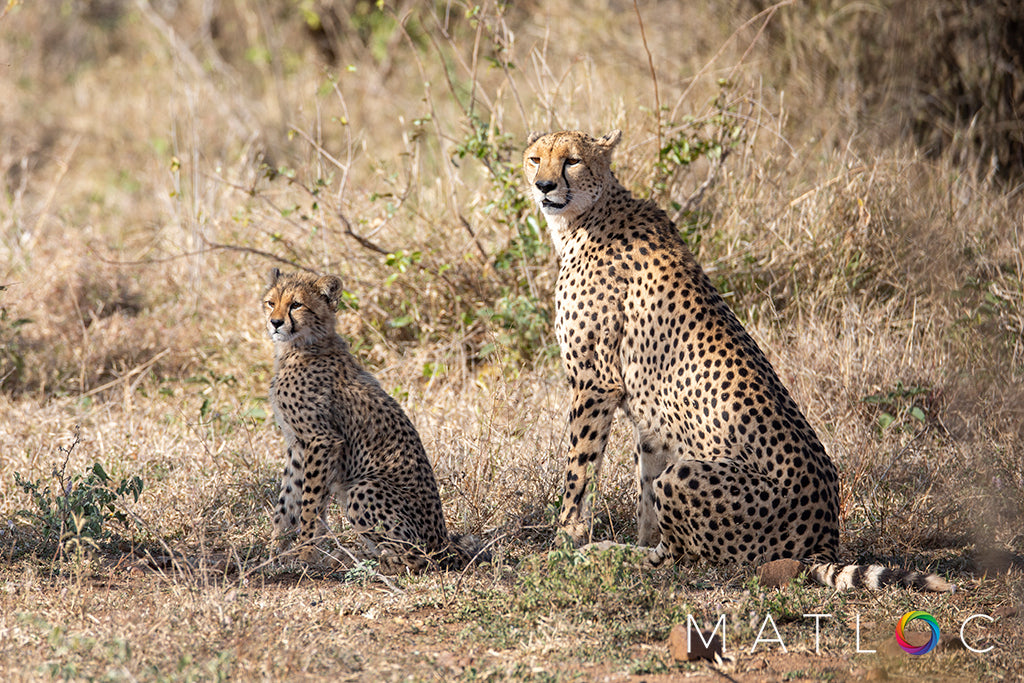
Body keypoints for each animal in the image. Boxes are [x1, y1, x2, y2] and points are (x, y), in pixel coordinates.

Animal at [264, 266, 487, 573]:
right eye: (271, 302)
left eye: (296, 305)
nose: (274, 323)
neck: (301, 346)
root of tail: (442, 541)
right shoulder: (298, 445)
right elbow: (286, 502)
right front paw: (274, 553)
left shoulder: (322, 441)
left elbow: (310, 505)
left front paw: (305, 555)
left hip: (363, 487)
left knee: (420, 560)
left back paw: (372, 564)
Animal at [524, 131, 954, 589]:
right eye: (534, 159)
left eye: (571, 161)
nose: (544, 186)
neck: (590, 215)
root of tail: (824, 540)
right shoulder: (648, 419)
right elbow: (644, 495)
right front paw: (608, 539)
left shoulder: (595, 382)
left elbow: (579, 471)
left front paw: (563, 541)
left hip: (686, 475)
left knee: (679, 559)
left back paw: (605, 555)